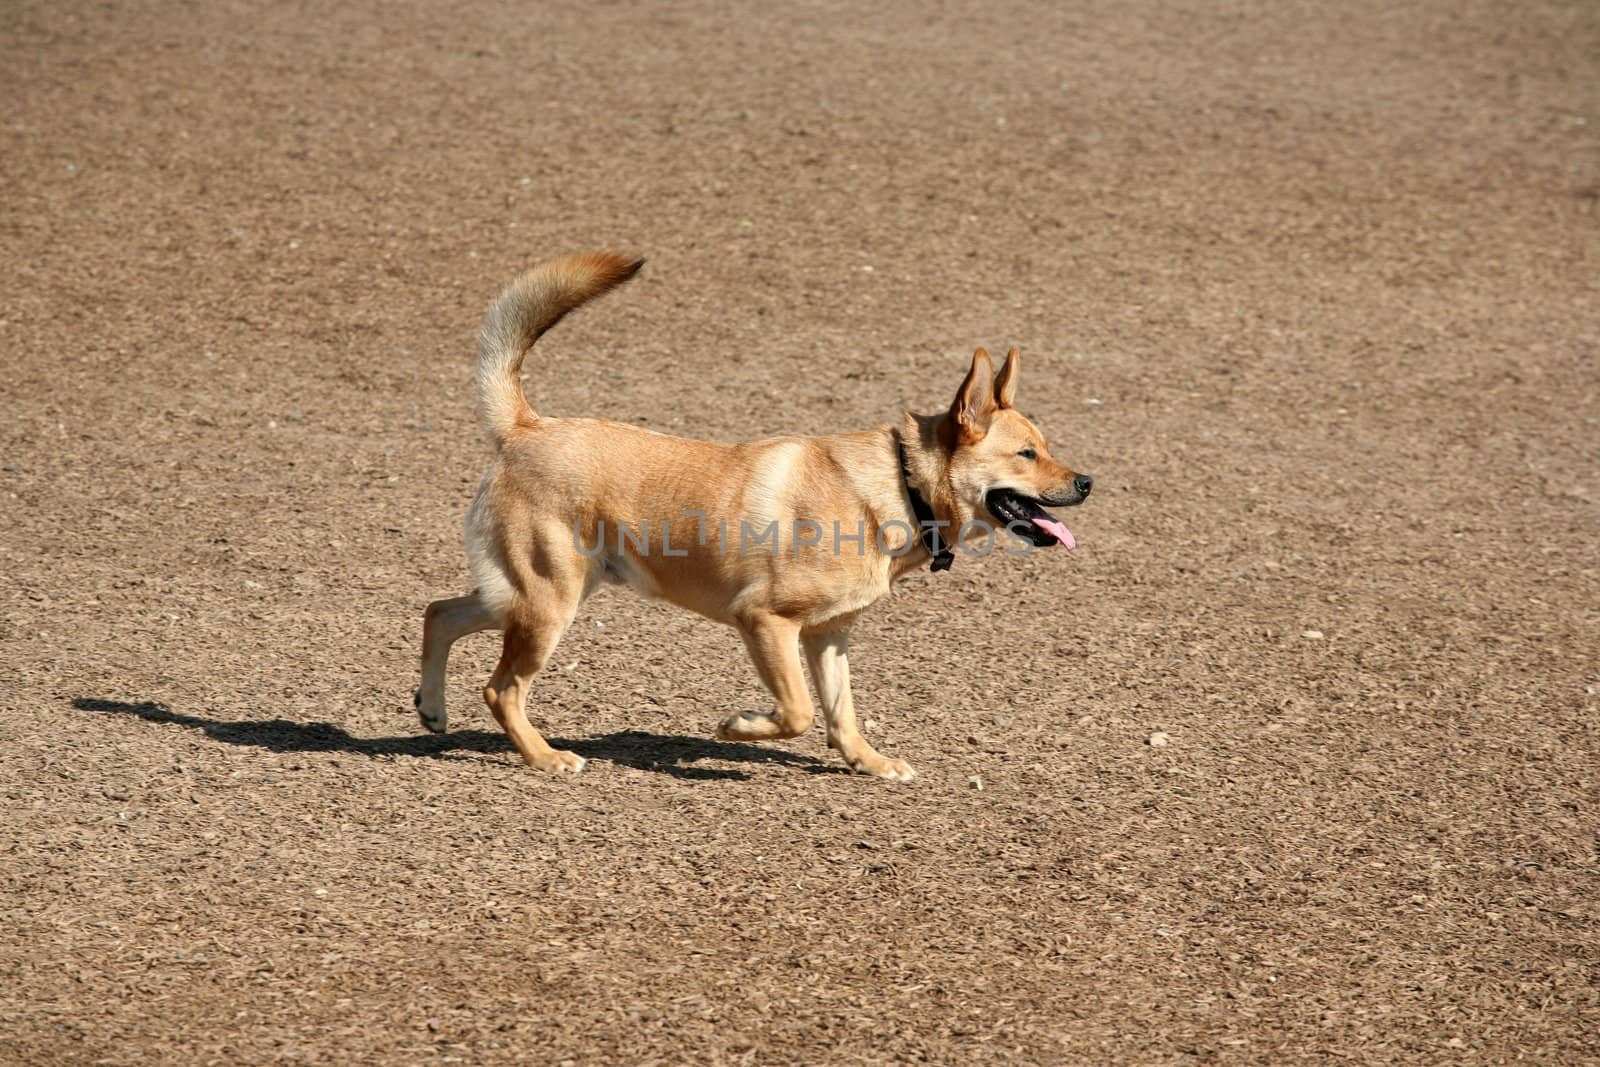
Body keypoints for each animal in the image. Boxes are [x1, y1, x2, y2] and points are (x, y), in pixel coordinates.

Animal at [412, 254, 1094, 780]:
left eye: (1046, 446)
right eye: (1027, 454)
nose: (1087, 482)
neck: (899, 486)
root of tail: (526, 427)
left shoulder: (828, 635)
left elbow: (841, 712)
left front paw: (868, 762)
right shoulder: (766, 620)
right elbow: (796, 711)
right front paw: (739, 726)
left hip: (530, 595)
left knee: (439, 612)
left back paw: (432, 709)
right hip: (549, 602)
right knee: (501, 688)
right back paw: (546, 756)